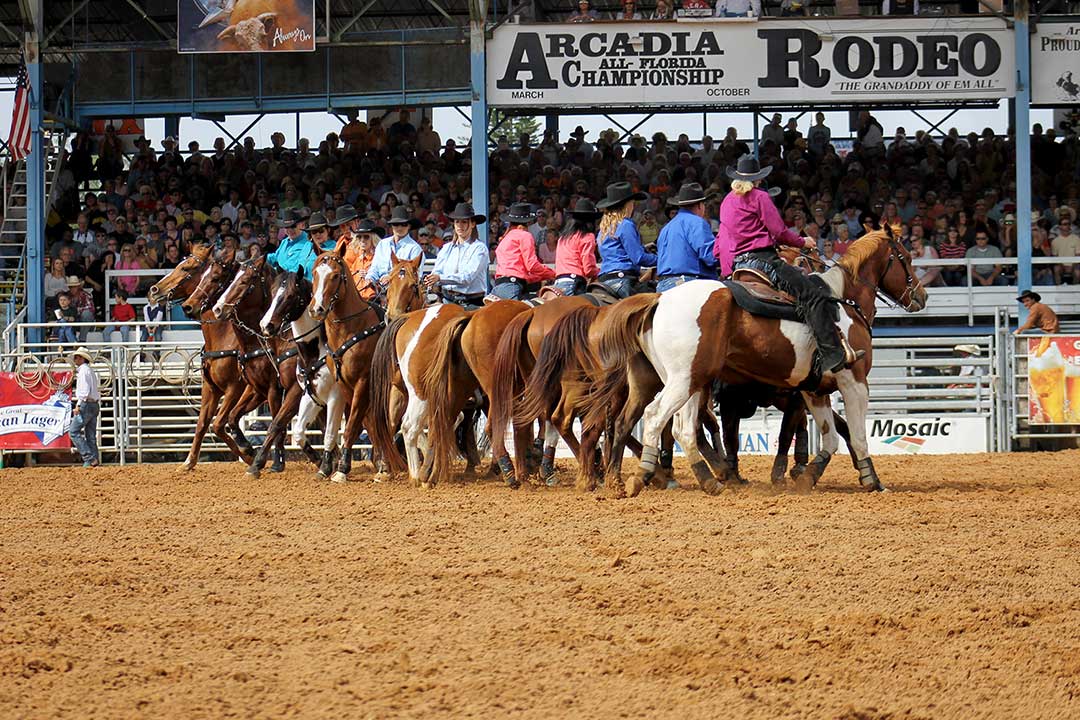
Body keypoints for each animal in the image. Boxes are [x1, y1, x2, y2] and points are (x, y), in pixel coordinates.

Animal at [146, 245, 262, 470]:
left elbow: (218, 424)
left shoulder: (236, 388)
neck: (224, 337)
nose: (153, 290)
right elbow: (203, 423)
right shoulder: (211, 388)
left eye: (186, 268)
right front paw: (188, 462)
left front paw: (249, 454)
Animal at [591, 227, 928, 498]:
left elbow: (830, 437)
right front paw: (872, 480)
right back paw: (644, 476)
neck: (842, 300)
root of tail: (659, 300)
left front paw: (807, 478)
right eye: (905, 257)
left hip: (687, 382)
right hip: (683, 381)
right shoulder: (854, 381)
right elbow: (856, 434)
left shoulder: (813, 391)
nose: (921, 296)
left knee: (675, 427)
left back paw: (702, 481)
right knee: (656, 417)